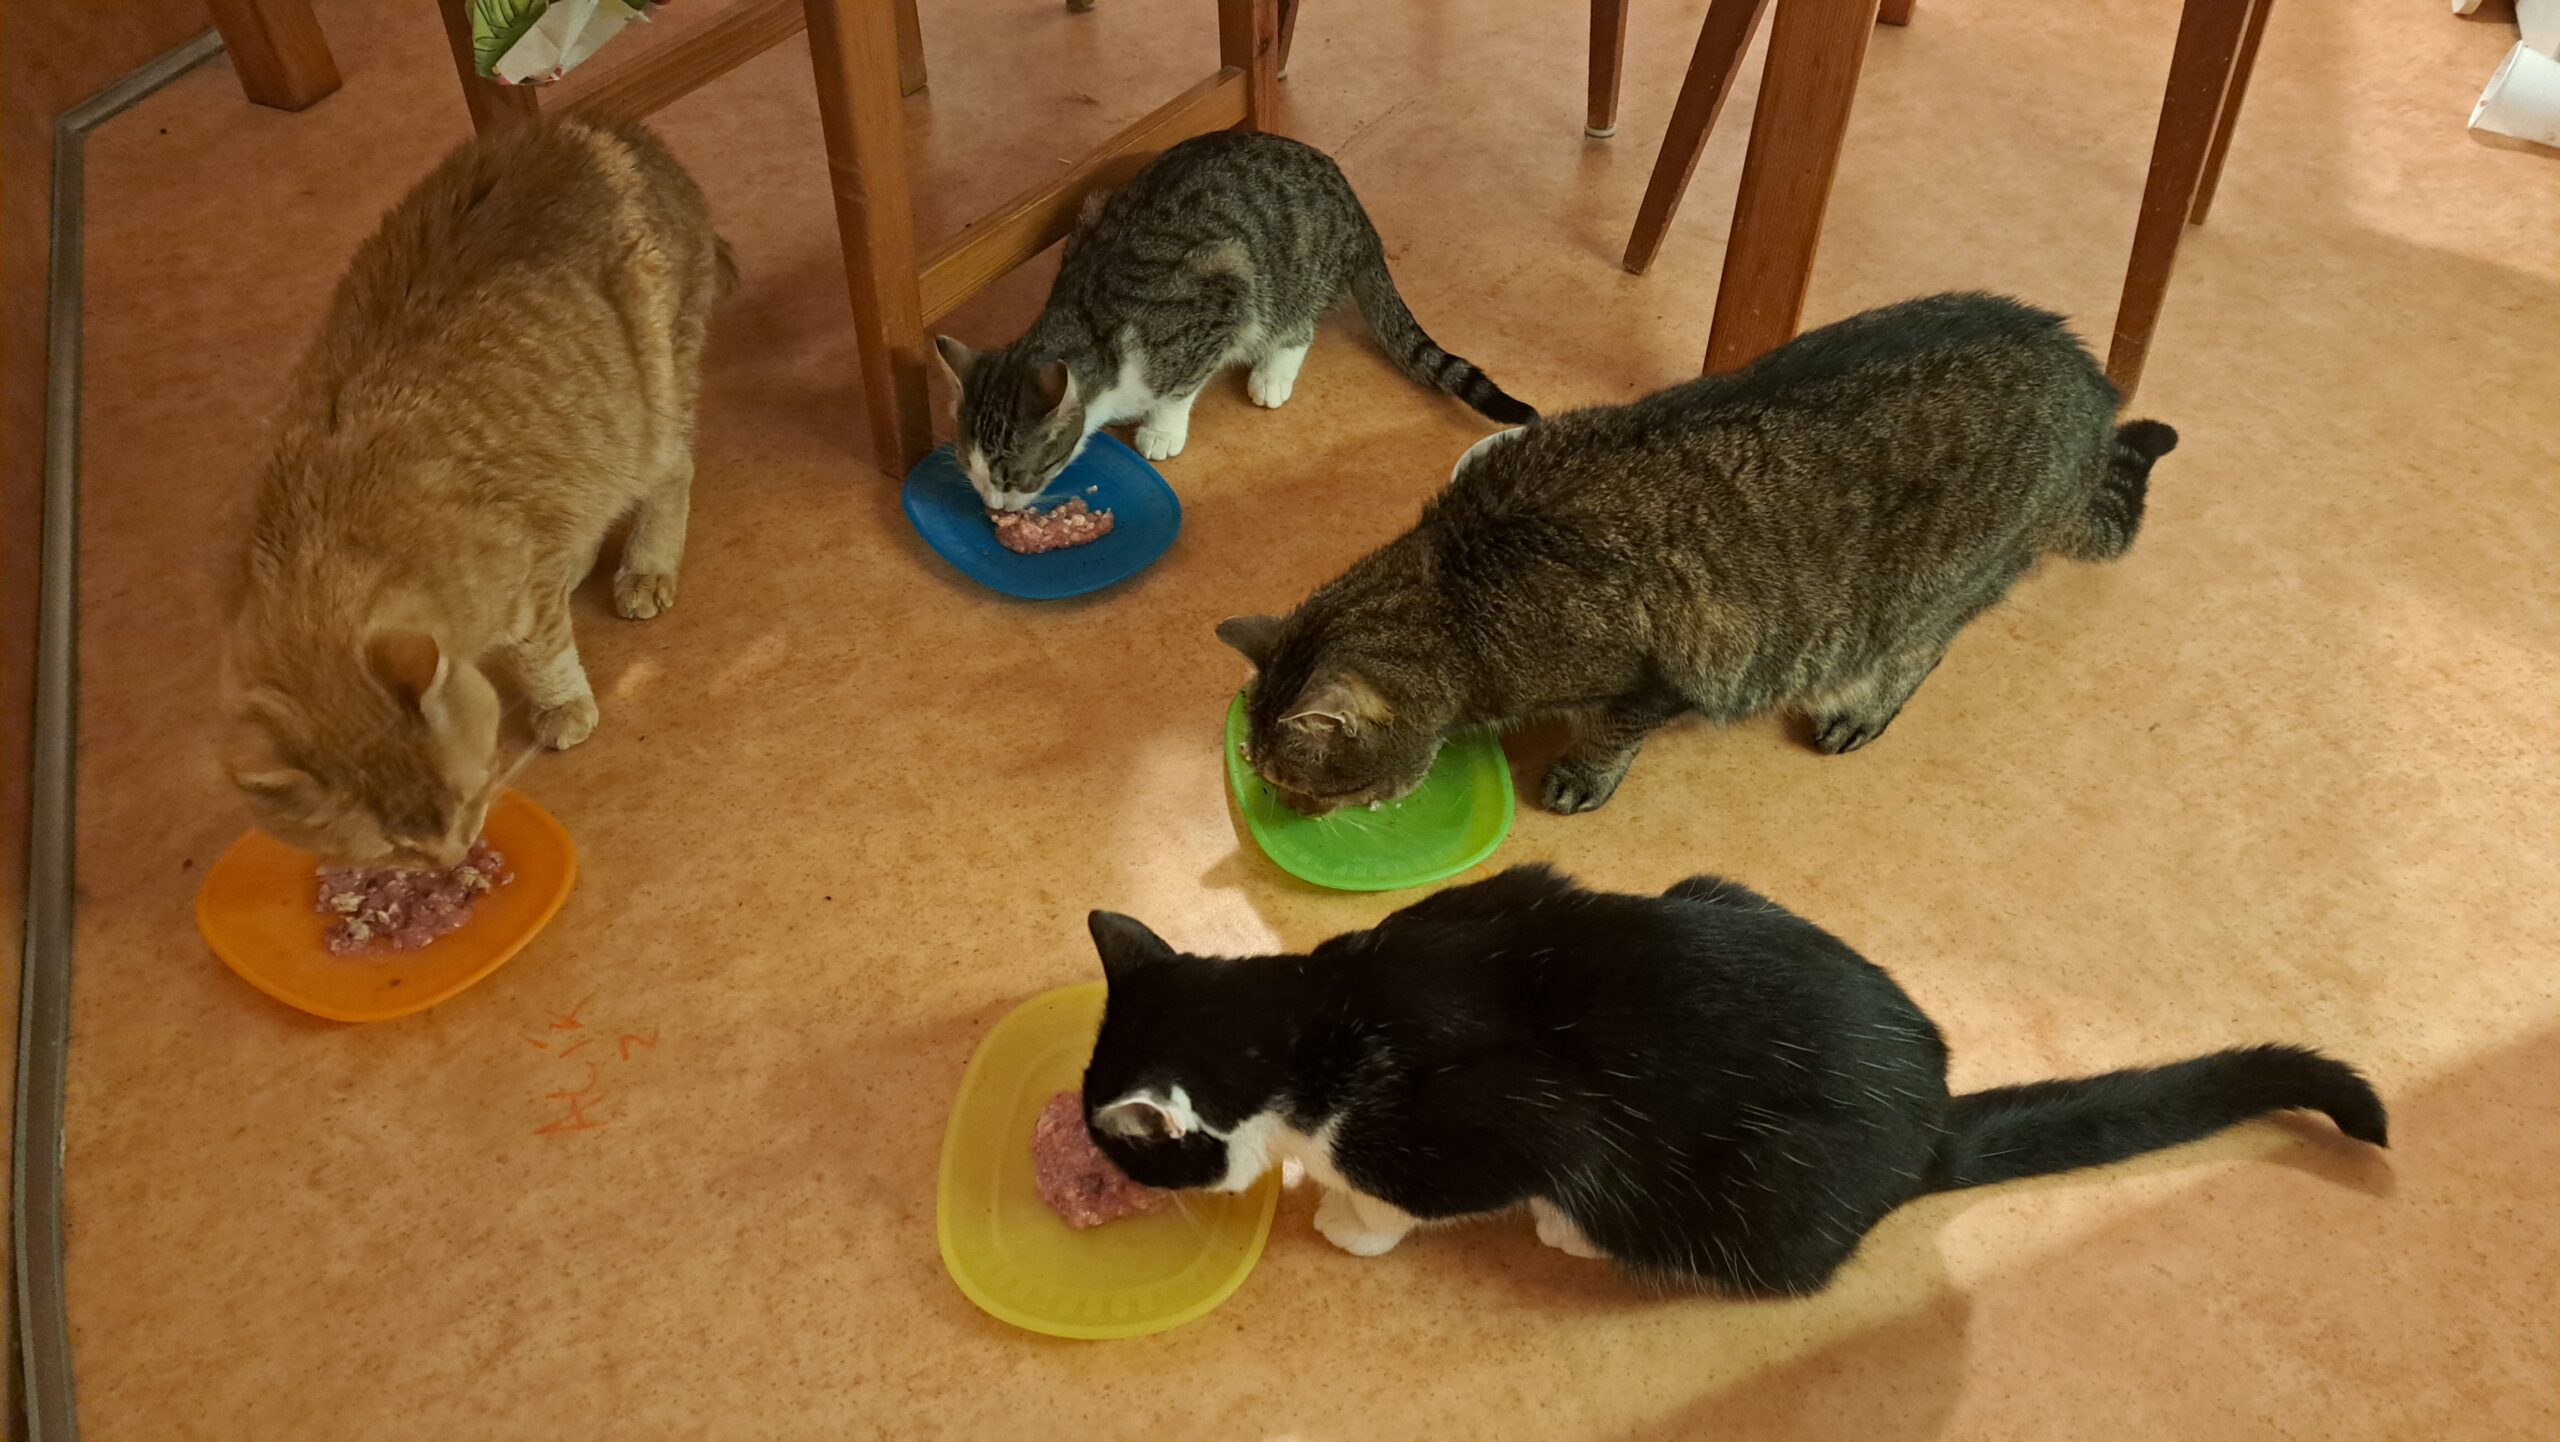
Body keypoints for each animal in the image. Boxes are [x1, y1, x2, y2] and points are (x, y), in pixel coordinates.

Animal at [222, 119, 735, 868]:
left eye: (465, 799)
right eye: (399, 850)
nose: (456, 857)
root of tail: (619, 129)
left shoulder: (520, 590)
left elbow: (542, 654)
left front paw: (561, 707)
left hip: (658, 385)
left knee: (671, 474)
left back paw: (645, 568)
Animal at [933, 130, 1535, 511]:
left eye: (1017, 476)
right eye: (971, 469)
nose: (995, 507)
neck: (1089, 324)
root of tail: (1359, 213)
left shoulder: (1222, 292)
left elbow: (1179, 387)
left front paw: (1161, 429)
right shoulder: (1088, 217)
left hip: (1285, 272)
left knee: (1298, 326)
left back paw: (1272, 374)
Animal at [1078, 864, 2387, 1293]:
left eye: (1112, 1144)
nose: (1090, 1157)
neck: (1312, 1020)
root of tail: (1929, 1124)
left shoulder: (1488, 1124)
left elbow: (1414, 1193)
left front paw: (1348, 1218)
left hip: (1754, 1183)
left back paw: (1575, 1231)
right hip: (1712, 886)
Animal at [1216, 292, 2180, 816]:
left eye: (1304, 782)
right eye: (1260, 772)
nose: (1286, 812)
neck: (1459, 596)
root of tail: (2095, 393)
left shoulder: (1667, 674)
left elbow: (1615, 731)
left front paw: (1581, 774)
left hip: (1934, 594)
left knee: (1920, 652)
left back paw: (1860, 710)